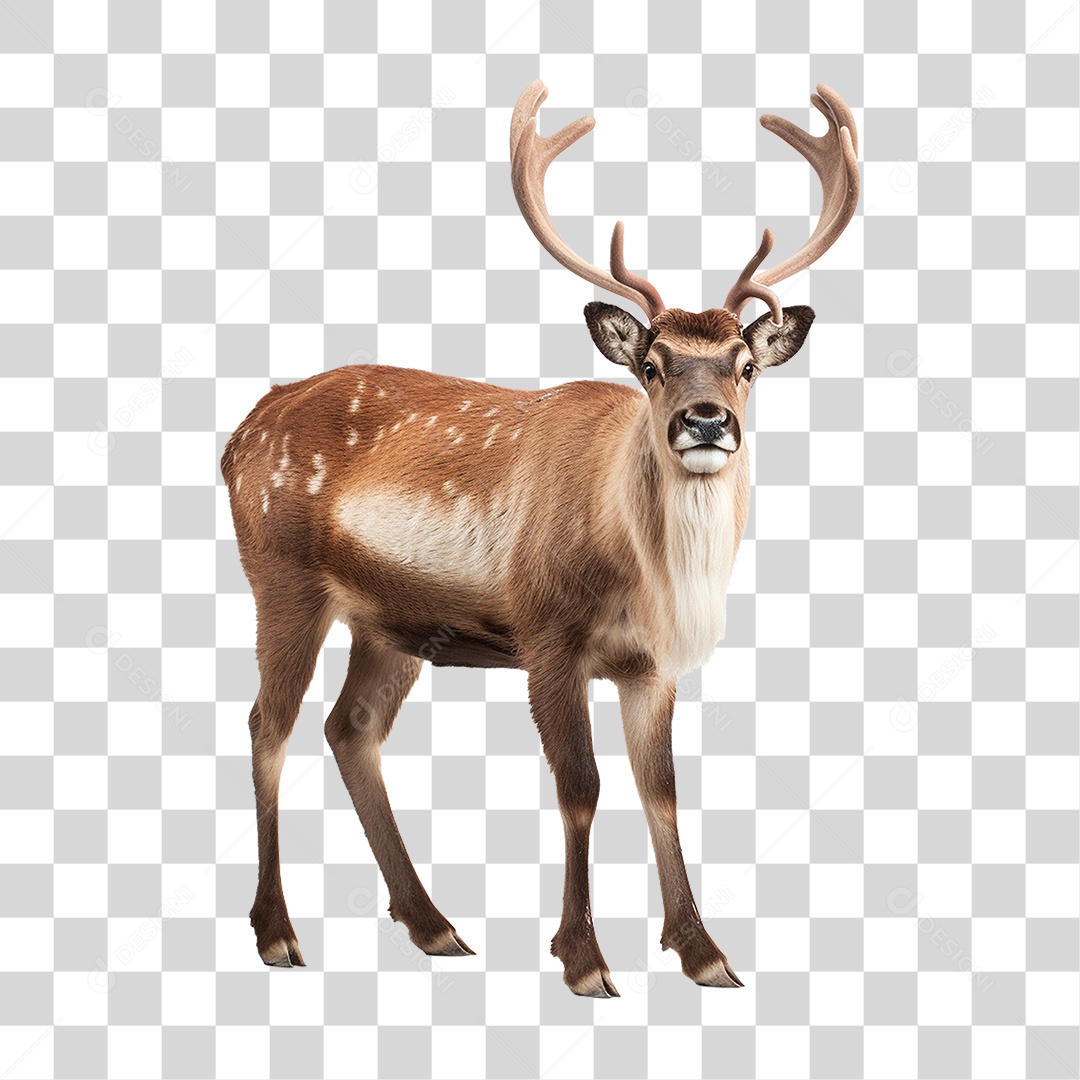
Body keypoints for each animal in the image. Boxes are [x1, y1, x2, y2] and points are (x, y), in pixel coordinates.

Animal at [220, 80, 858, 997]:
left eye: (746, 364)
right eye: (653, 364)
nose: (707, 422)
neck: (650, 576)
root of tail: (239, 435)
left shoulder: (651, 664)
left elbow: (661, 787)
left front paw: (704, 953)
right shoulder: (547, 631)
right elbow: (580, 786)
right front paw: (583, 958)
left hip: (388, 622)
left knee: (351, 728)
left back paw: (434, 924)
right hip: (280, 578)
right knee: (266, 726)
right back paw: (278, 932)